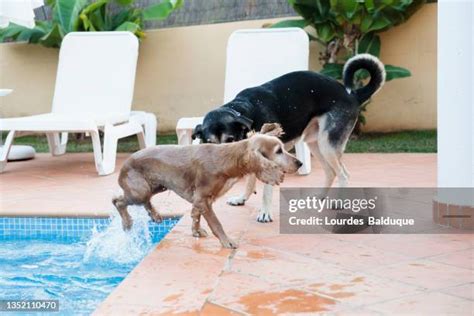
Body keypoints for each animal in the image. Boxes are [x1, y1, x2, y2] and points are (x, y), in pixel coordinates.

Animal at [113, 124, 302, 249]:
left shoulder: (200, 200)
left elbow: (196, 216)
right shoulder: (203, 199)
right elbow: (216, 223)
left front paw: (196, 232)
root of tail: (125, 163)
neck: (228, 159)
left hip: (156, 186)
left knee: (143, 201)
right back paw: (127, 223)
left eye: (283, 148)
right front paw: (227, 242)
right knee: (117, 200)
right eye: (278, 151)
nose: (299, 163)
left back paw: (155, 215)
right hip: (140, 191)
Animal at [192, 53, 386, 222]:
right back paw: (319, 197)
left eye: (230, 140)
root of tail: (352, 95)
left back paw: (340, 202)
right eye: (208, 143)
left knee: (344, 174)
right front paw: (242, 198)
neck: (244, 112)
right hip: (314, 143)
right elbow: (250, 181)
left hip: (327, 144)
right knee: (331, 172)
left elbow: (266, 191)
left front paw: (264, 213)